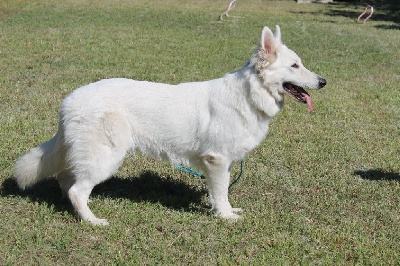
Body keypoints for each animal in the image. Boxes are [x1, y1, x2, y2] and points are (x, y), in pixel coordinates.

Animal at [14, 25, 326, 224]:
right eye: (295, 66)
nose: (323, 82)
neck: (250, 94)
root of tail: (69, 101)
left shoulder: (220, 163)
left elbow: (220, 194)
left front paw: (223, 211)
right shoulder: (217, 161)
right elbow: (221, 192)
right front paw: (225, 217)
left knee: (65, 180)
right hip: (106, 157)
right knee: (77, 190)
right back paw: (92, 221)